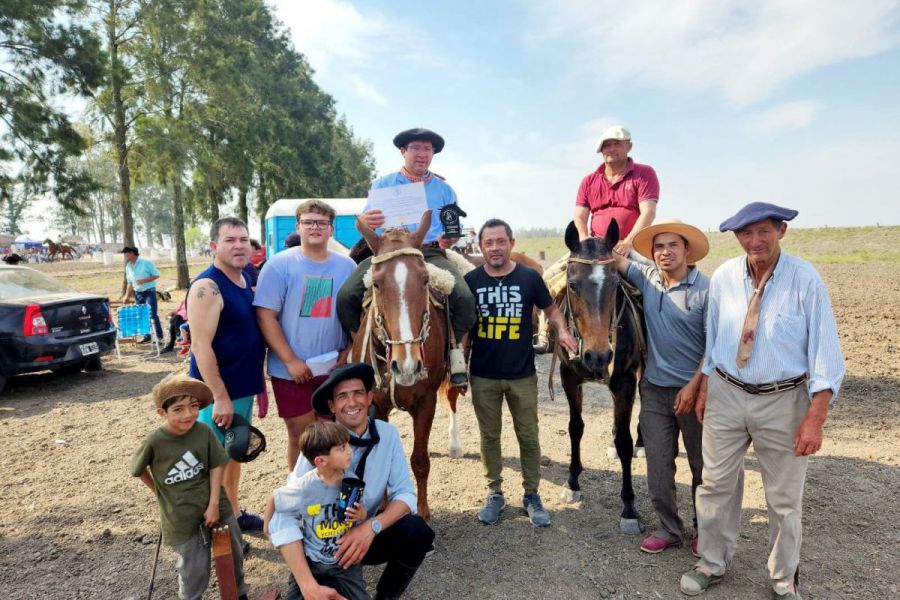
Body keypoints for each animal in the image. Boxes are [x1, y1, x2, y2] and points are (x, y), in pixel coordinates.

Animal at [350, 210, 454, 520]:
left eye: (424, 280)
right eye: (376, 283)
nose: (406, 365)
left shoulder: (426, 402)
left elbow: (420, 461)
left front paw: (423, 512)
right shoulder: (377, 405)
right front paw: (381, 507)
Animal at [556, 218, 648, 532]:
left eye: (615, 284)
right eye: (572, 285)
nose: (598, 356)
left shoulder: (625, 382)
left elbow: (624, 442)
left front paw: (630, 509)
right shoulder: (568, 377)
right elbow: (575, 427)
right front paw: (572, 483)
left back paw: (642, 443)